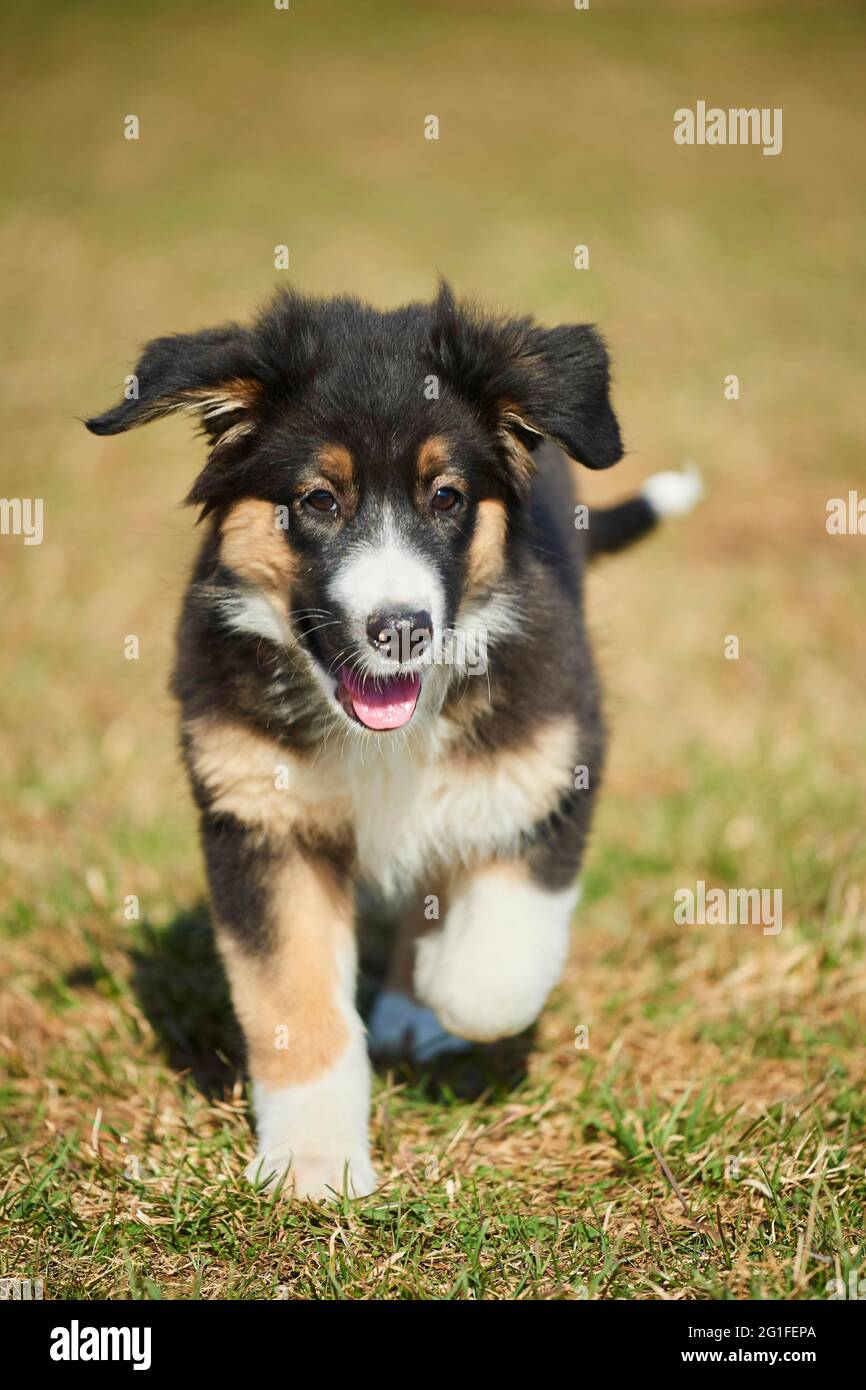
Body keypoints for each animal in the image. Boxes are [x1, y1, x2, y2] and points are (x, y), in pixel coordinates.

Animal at [84, 287, 700, 1200]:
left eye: (446, 497)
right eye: (317, 500)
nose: (402, 629)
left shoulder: (549, 759)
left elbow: (496, 972)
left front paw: (441, 981)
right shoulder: (261, 823)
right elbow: (294, 1003)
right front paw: (312, 1165)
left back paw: (417, 1002)